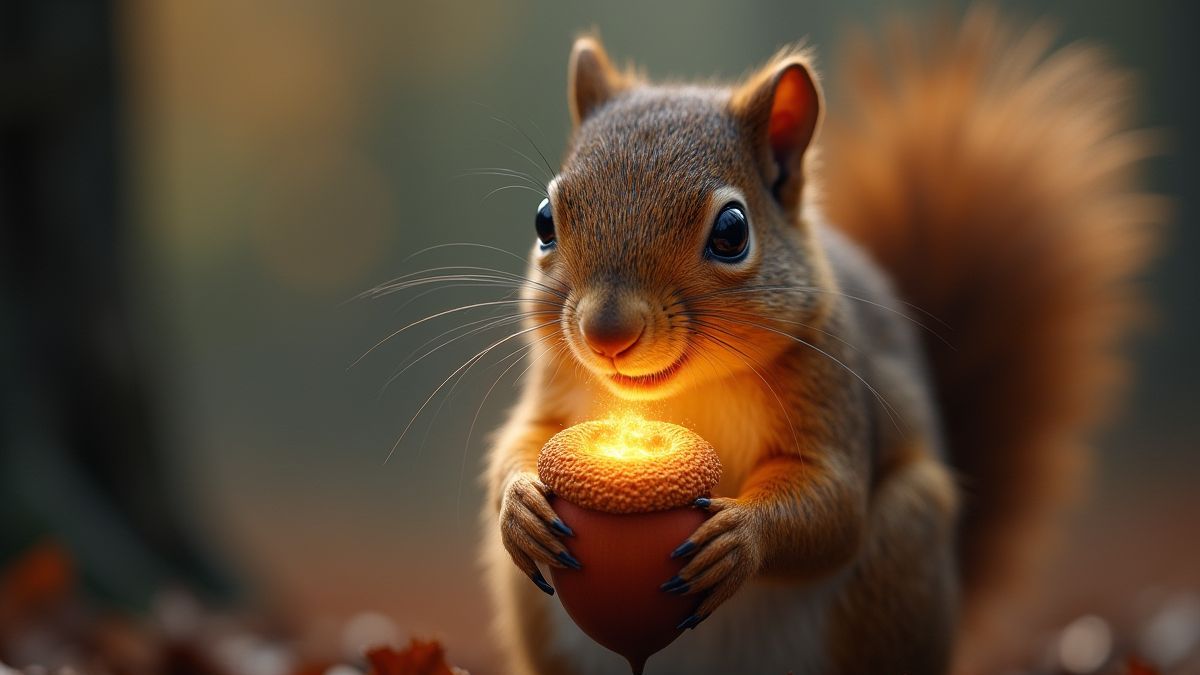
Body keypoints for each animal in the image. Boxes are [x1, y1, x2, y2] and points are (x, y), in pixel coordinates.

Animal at [481, 8, 1159, 675]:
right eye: (545, 219)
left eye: (732, 232)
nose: (606, 333)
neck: (685, 394)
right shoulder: (557, 383)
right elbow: (523, 441)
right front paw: (520, 503)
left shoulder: (831, 383)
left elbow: (833, 503)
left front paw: (742, 535)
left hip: (901, 555)